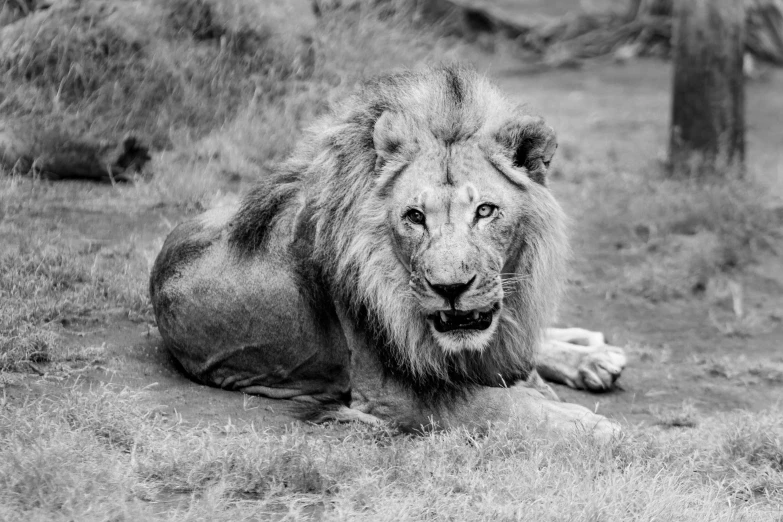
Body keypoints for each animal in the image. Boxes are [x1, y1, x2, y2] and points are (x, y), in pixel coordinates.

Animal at [150, 65, 628, 434]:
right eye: (414, 217)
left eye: (485, 211)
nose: (450, 289)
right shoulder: (389, 393)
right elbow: (500, 404)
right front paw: (592, 425)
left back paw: (593, 352)